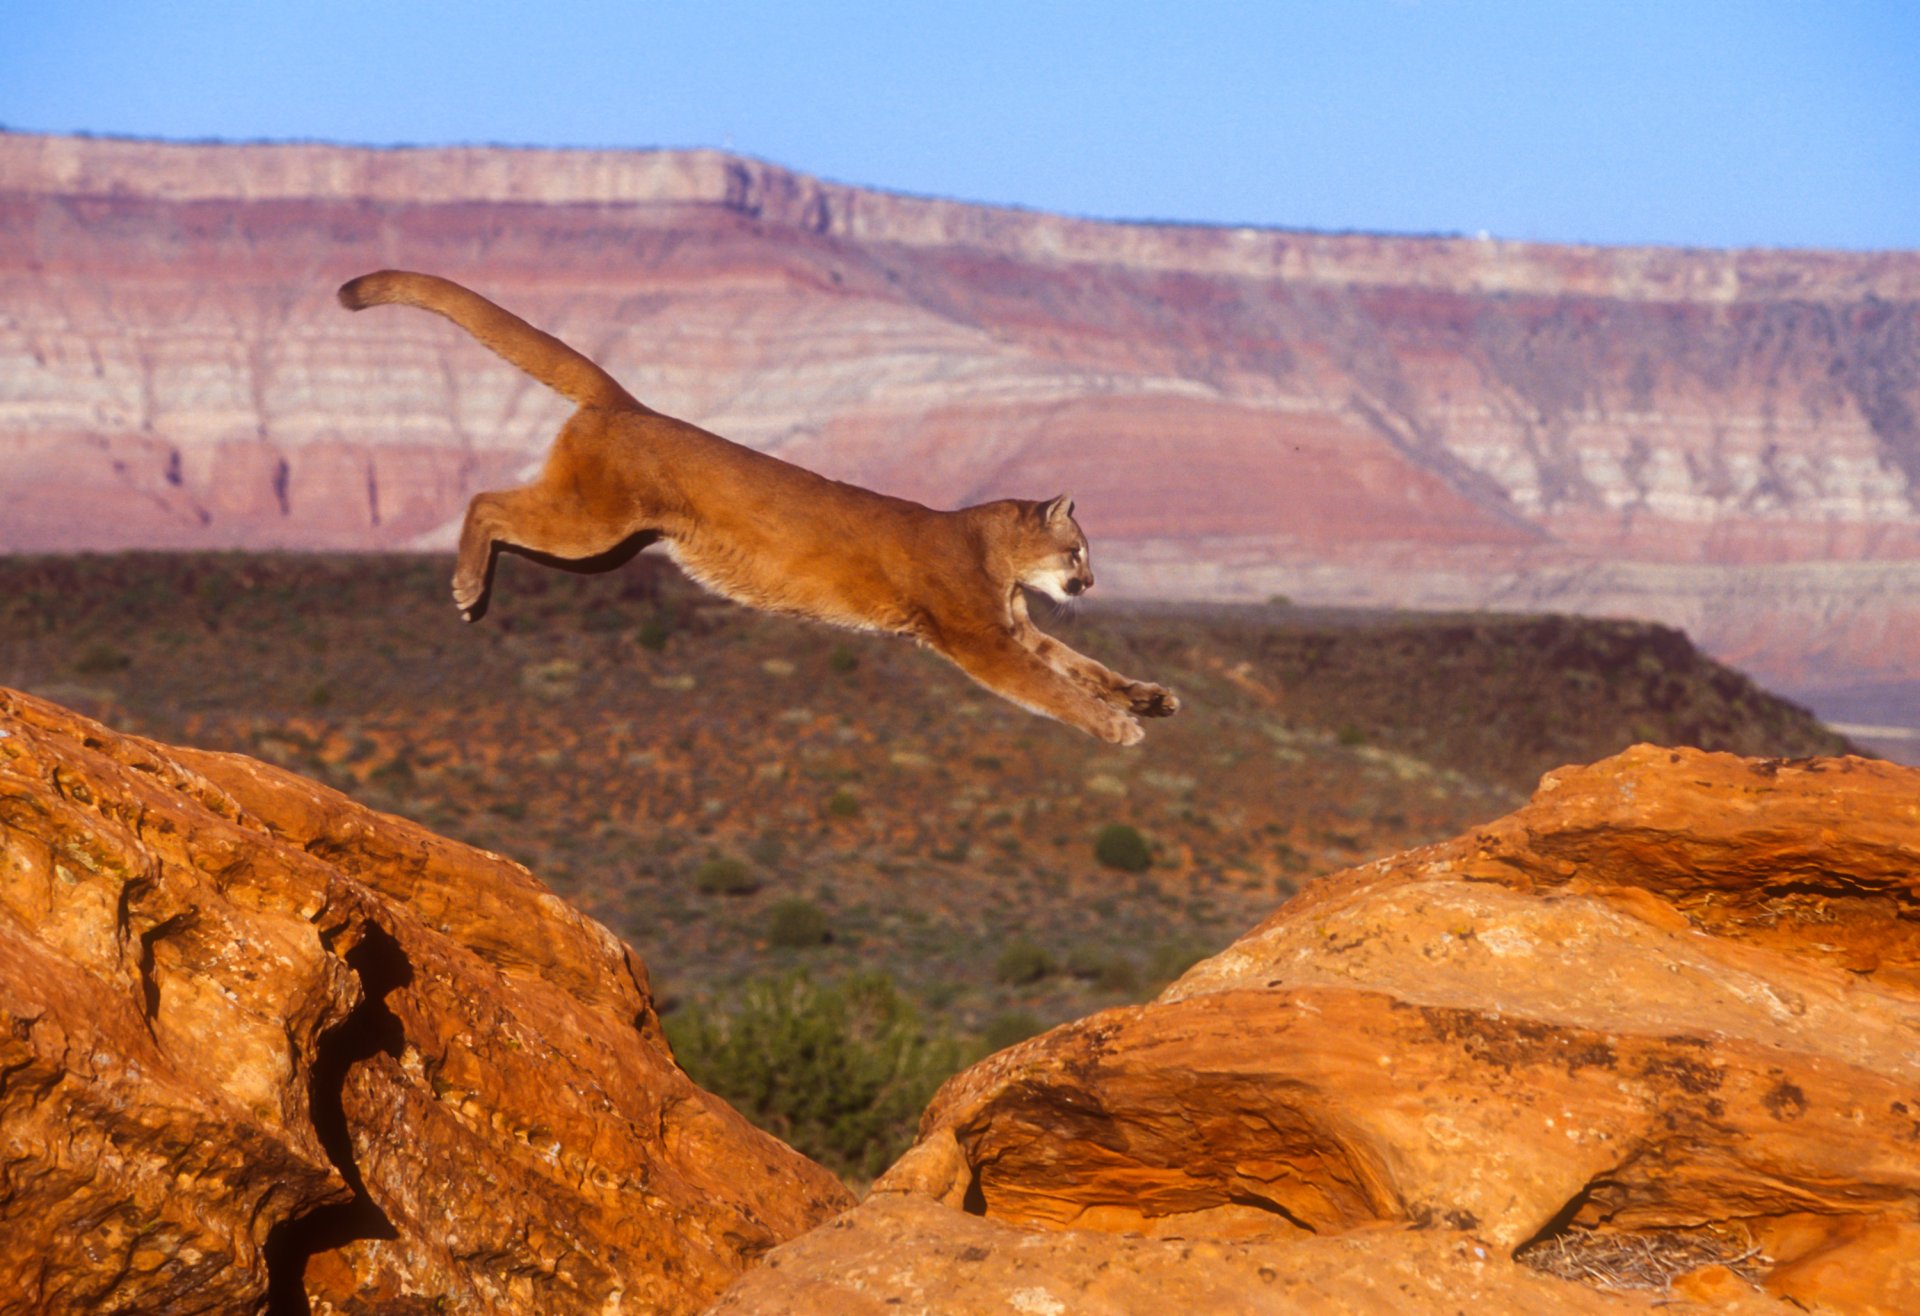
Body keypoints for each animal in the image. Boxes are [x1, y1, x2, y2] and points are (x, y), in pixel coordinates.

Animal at [337, 270, 1179, 744]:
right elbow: (1052, 690)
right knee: (484, 500)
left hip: (605, 547)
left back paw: (478, 592)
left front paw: (1147, 696)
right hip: (591, 525)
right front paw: (1118, 727)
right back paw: (467, 590)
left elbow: (1082, 665)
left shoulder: (1016, 629)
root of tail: (629, 404)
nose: (1090, 583)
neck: (995, 558)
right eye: (1078, 551)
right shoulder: (980, 639)